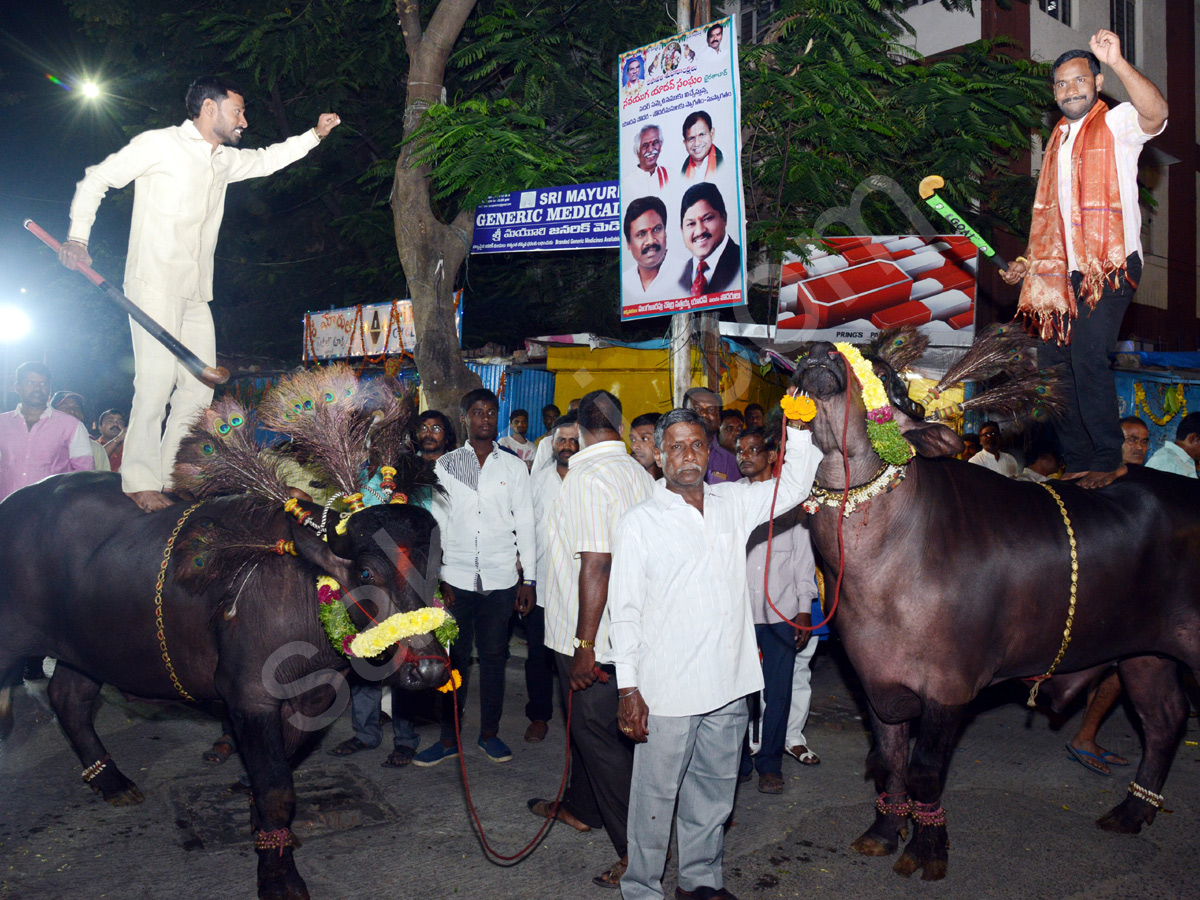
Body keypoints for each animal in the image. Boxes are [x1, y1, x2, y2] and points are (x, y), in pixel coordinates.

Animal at [0, 367, 448, 900]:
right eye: (364, 572)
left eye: (434, 564)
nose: (429, 668)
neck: (304, 587)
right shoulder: (249, 695)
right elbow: (277, 787)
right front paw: (279, 875)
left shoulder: (314, 696)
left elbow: (278, 775)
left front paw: (263, 829)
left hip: (89, 645)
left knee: (68, 695)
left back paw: (112, 782)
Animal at [787, 331, 1200, 883]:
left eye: (885, 378)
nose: (819, 352)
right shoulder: (877, 681)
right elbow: (890, 762)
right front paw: (883, 830)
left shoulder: (949, 687)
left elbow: (923, 772)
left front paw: (928, 847)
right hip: (1145, 654)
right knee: (1164, 719)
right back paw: (1131, 811)